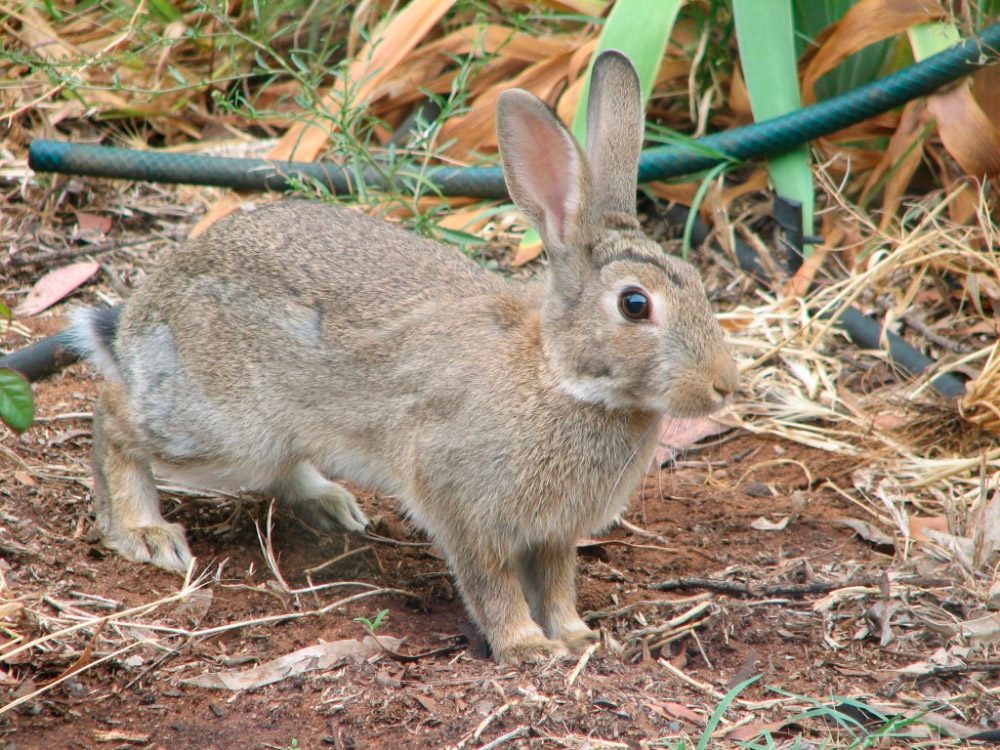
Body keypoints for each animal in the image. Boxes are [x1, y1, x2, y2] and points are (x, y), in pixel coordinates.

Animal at [68, 51, 736, 664]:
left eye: (697, 282)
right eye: (634, 305)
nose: (724, 386)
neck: (557, 374)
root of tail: (144, 314)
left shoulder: (551, 536)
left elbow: (557, 585)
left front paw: (574, 637)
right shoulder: (466, 508)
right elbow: (493, 586)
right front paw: (527, 647)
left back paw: (332, 505)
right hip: (225, 428)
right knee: (114, 416)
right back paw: (143, 532)